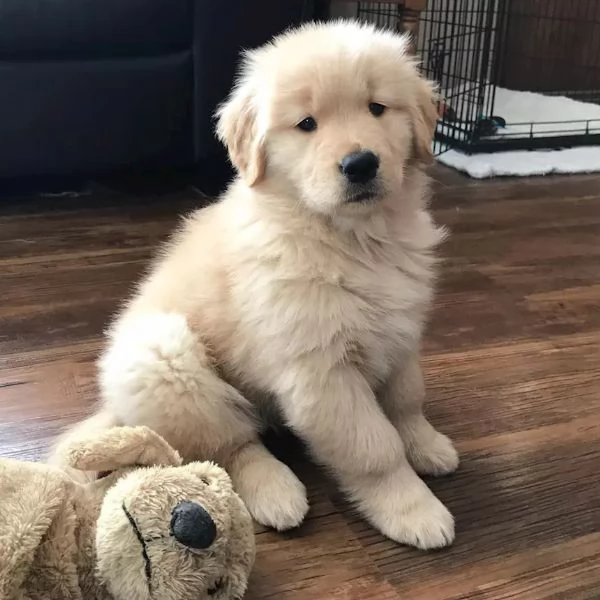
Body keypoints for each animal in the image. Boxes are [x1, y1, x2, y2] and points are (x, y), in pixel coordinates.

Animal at [55, 22, 460, 548]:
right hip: (166, 358)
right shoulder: (321, 373)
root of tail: (115, 411)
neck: (352, 239)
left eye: (377, 107)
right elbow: (373, 448)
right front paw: (412, 509)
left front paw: (426, 444)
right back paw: (276, 492)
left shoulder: (400, 332)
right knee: (229, 446)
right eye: (307, 124)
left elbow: (408, 400)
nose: (360, 164)